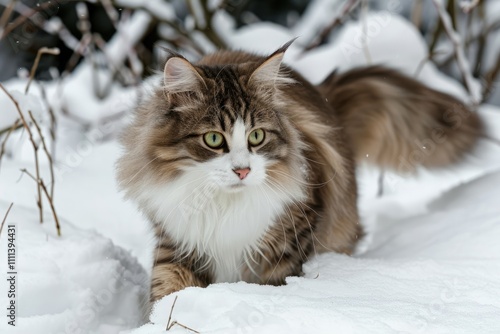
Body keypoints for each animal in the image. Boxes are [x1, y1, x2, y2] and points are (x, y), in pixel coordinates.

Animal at [115, 40, 482, 302]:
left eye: (257, 136)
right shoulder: (177, 242)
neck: (222, 205)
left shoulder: (292, 236)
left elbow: (274, 281)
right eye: (214, 139)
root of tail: (325, 98)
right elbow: (167, 290)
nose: (242, 171)